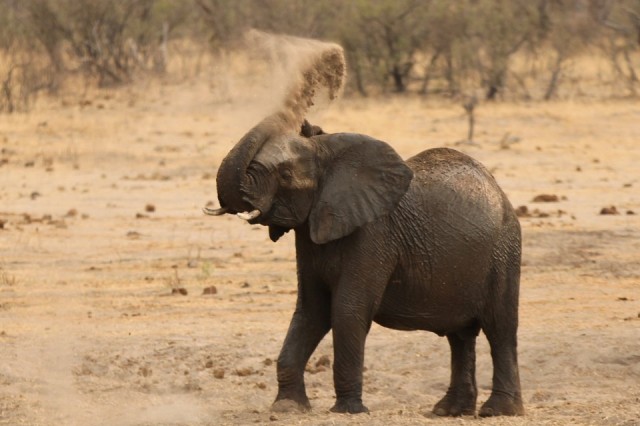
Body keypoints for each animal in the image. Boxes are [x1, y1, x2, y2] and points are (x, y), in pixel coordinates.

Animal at [206, 112, 524, 416]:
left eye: (285, 175)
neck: (327, 154)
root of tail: (499, 191)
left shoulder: (374, 235)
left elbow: (347, 310)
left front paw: (348, 410)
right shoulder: (309, 236)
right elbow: (311, 311)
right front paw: (287, 407)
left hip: (504, 252)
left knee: (500, 329)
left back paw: (497, 411)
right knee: (460, 337)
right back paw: (448, 411)